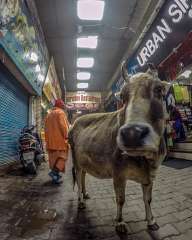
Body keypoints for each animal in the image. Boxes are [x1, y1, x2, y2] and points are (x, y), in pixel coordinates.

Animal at [68, 62, 169, 233]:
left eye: (159, 89)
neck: (146, 160)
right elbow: (120, 199)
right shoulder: (118, 173)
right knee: (79, 177)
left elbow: (148, 199)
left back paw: (86, 194)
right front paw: (120, 222)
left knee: (83, 177)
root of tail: (76, 121)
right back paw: (81, 201)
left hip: (84, 161)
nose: (132, 134)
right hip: (75, 160)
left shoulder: (151, 175)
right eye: (122, 96)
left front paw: (151, 221)